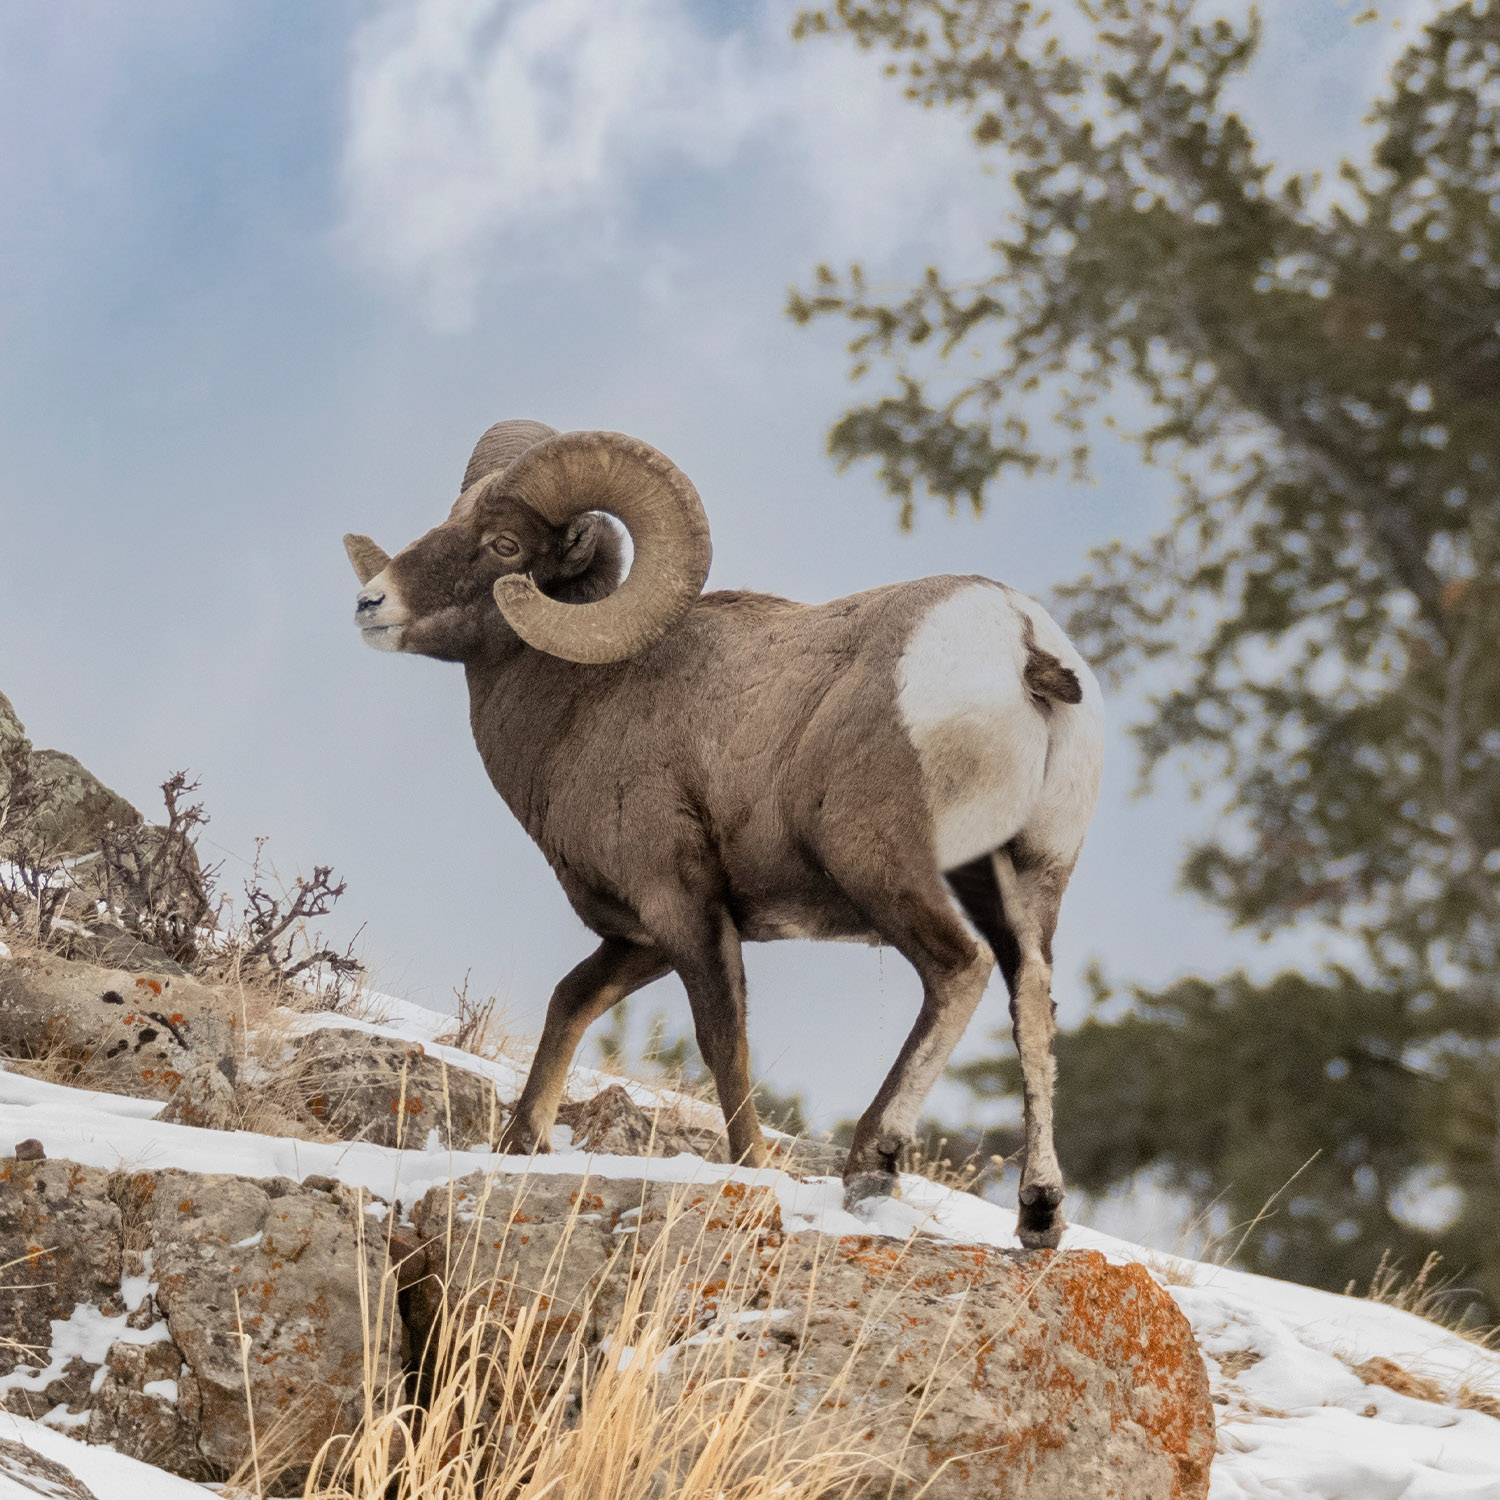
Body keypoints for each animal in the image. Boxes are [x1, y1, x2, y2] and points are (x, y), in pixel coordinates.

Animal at [344, 421, 1103, 1247]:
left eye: (505, 545)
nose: (372, 602)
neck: (587, 699)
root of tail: (1022, 646)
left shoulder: (682, 906)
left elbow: (722, 1039)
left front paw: (752, 1167)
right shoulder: (645, 935)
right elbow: (569, 1003)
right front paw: (520, 1144)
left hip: (885, 868)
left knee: (959, 969)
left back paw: (872, 1165)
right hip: (1025, 880)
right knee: (1032, 1000)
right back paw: (1040, 1213)